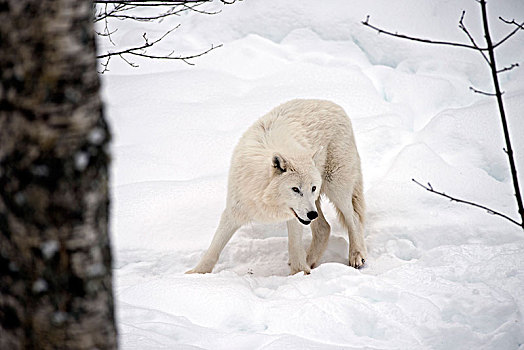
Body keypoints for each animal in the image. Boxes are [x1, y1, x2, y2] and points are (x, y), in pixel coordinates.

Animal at [186, 99, 366, 276]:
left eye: (313, 188)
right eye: (295, 189)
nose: (311, 214)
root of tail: (335, 105)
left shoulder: (295, 217)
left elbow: (294, 247)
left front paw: (299, 274)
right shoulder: (234, 211)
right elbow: (214, 248)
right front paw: (196, 274)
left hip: (336, 190)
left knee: (353, 218)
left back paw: (356, 256)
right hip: (320, 202)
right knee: (324, 227)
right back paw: (310, 261)